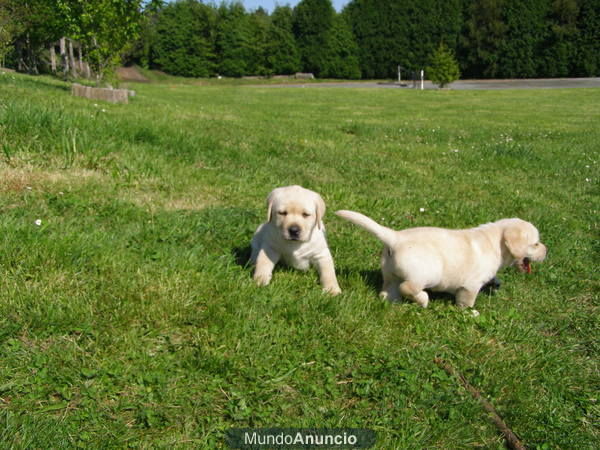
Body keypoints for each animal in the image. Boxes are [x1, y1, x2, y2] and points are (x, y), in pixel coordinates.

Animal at [336, 209, 548, 308]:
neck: (495, 242)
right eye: (536, 244)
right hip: (427, 273)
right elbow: (467, 301)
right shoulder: (471, 285)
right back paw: (423, 299)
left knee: (388, 290)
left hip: (389, 273)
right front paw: (470, 312)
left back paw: (392, 301)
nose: (546, 252)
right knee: (409, 288)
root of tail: (395, 237)